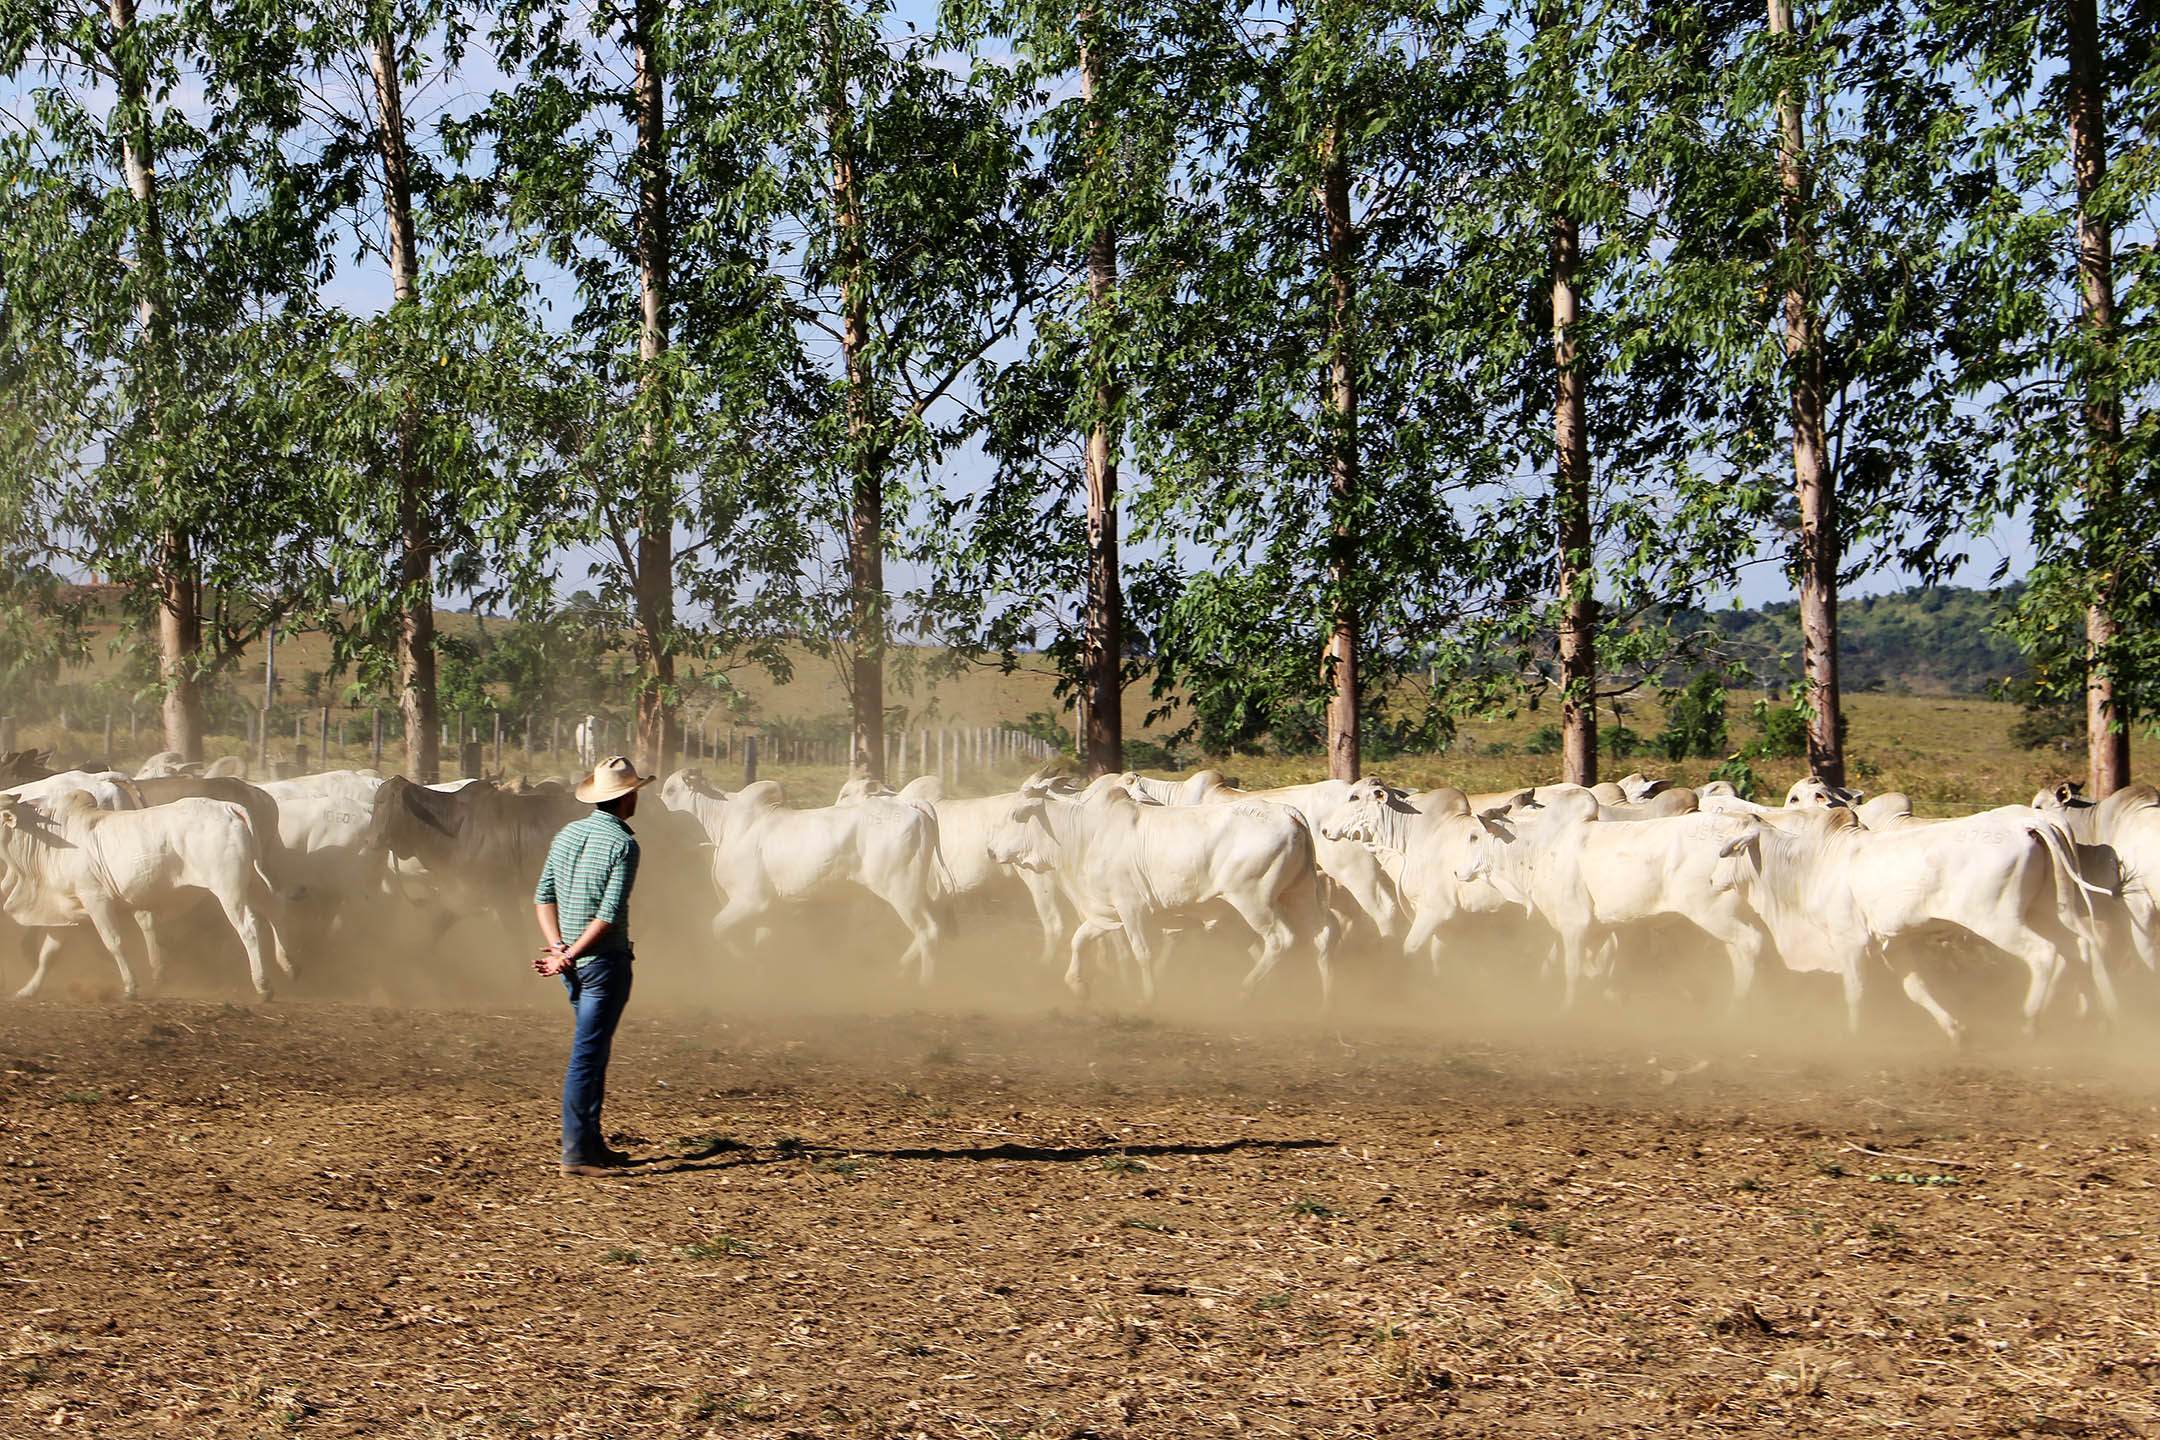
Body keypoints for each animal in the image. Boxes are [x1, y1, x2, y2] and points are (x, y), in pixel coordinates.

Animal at [1, 790, 291, 1001]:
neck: (49, 839)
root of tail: (228, 808)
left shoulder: (96, 901)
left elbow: (114, 942)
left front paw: (130, 987)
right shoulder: (66, 908)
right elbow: (48, 955)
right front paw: (28, 990)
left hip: (228, 889)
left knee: (248, 929)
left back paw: (263, 985)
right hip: (250, 883)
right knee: (275, 910)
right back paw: (288, 965)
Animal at [660, 772, 950, 984]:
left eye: (670, 790)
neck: (723, 826)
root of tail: (908, 803)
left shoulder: (752, 901)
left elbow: (718, 929)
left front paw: (742, 964)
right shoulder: (769, 912)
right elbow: (761, 947)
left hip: (901, 890)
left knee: (928, 932)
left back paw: (925, 985)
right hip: (915, 891)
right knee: (931, 929)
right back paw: (898, 970)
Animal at [989, 777, 1330, 1001]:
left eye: (1016, 815)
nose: (991, 851)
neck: (1086, 834)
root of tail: (1288, 814)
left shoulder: (1131, 907)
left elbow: (1142, 952)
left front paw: (1149, 997)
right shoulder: (1106, 912)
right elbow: (1079, 940)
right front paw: (1077, 984)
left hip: (1254, 902)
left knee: (1280, 941)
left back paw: (1244, 990)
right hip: (1299, 894)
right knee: (1322, 938)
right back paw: (1327, 1004)